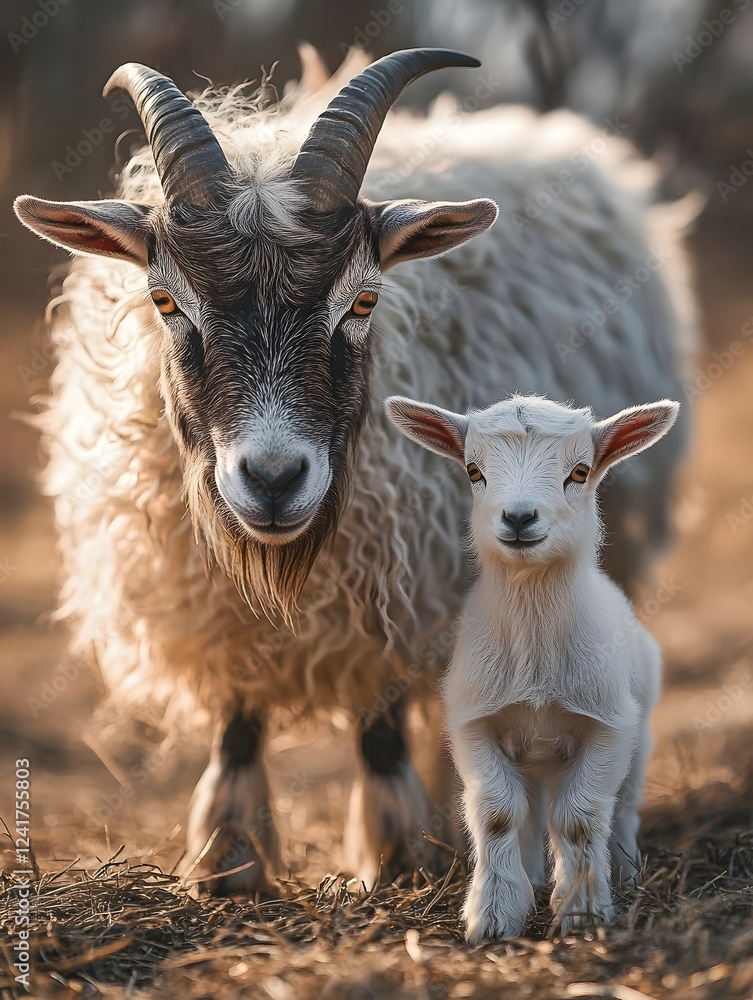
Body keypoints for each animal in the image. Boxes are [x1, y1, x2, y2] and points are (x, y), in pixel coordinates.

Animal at [386, 393, 678, 940]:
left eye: (580, 471)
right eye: (473, 471)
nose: (519, 517)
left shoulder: (608, 725)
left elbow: (580, 819)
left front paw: (583, 911)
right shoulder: (474, 722)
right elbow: (498, 814)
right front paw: (495, 913)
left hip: (639, 732)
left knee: (623, 807)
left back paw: (625, 872)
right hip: (534, 755)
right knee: (530, 812)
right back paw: (535, 877)